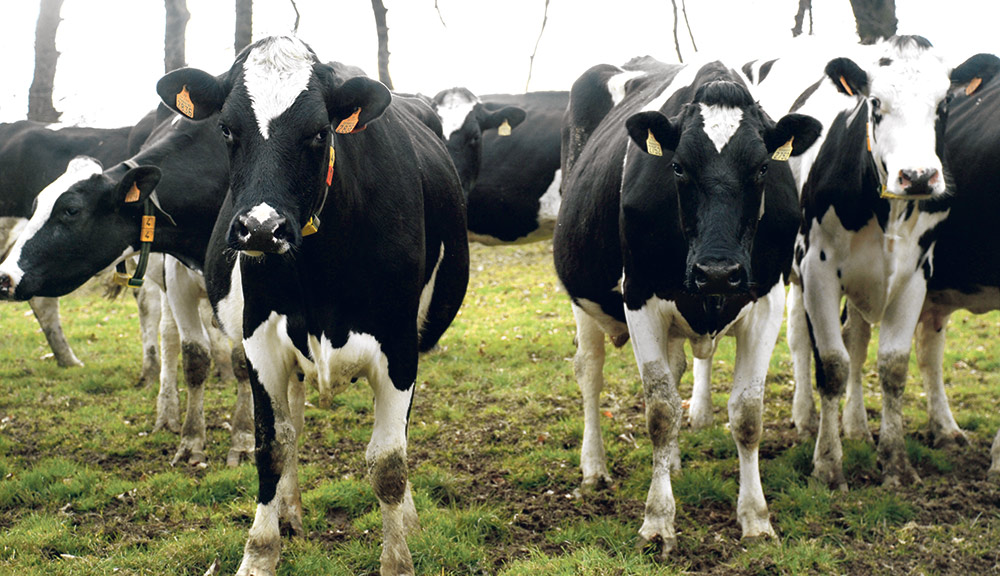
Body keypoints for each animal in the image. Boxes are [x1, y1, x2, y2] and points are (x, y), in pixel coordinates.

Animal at [155, 37, 468, 576]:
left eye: (320, 132)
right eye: (226, 129)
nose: (261, 229)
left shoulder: (399, 346)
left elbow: (388, 462)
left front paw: (398, 558)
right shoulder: (261, 339)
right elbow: (272, 447)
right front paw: (260, 552)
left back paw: (406, 521)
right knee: (295, 426)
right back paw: (290, 511)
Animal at [556, 59, 820, 560]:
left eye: (762, 167)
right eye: (677, 167)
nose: (717, 272)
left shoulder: (767, 297)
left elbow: (747, 416)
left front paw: (756, 518)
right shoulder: (639, 295)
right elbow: (660, 413)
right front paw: (658, 521)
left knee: (675, 369)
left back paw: (673, 462)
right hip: (584, 299)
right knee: (589, 374)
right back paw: (594, 468)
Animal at [780, 35, 1000, 486]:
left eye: (944, 103)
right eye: (876, 103)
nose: (917, 176)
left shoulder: (915, 275)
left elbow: (894, 366)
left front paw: (896, 461)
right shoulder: (817, 270)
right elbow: (832, 365)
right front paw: (827, 465)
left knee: (862, 340)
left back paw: (860, 428)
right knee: (801, 342)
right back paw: (806, 419)